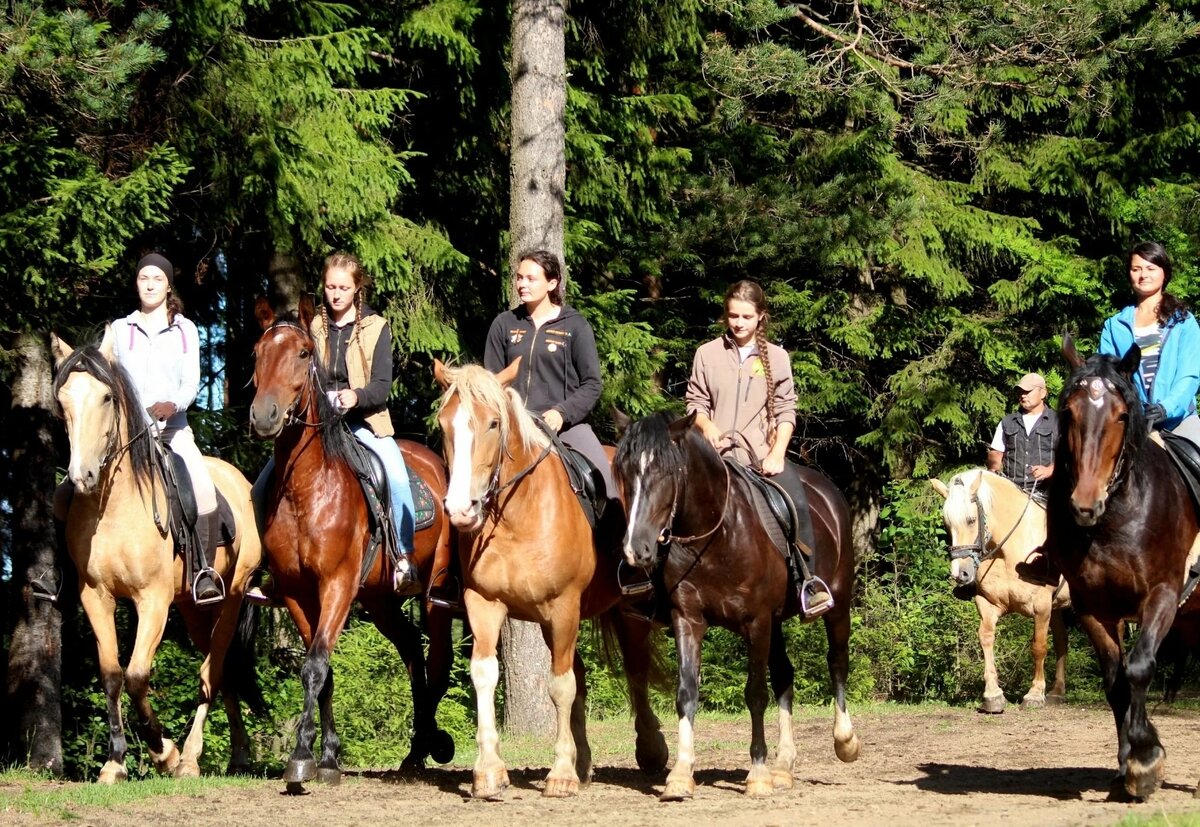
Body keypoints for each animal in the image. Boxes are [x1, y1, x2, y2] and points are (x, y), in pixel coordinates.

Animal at [250, 295, 456, 787]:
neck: (306, 489)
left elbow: (314, 665)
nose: (264, 416)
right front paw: (325, 755)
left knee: (438, 662)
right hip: (381, 600)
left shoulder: (338, 586)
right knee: (412, 651)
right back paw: (415, 750)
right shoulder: (297, 593)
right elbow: (322, 670)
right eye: (256, 353)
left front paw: (301, 758)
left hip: (435, 592)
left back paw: (429, 745)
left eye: (303, 353)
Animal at [434, 360, 676, 801]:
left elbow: (560, 687)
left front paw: (560, 773)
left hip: (625, 610)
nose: (461, 509)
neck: (517, 516)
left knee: (634, 671)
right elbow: (486, 675)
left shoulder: (564, 606)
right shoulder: (483, 604)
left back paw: (650, 750)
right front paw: (489, 771)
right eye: (445, 425)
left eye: (493, 423)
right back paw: (584, 762)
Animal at [614, 412, 859, 801]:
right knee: (785, 675)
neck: (717, 535)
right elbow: (687, 693)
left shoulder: (755, 621)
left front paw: (757, 774)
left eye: (665, 473)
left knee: (837, 662)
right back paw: (783, 766)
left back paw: (844, 741)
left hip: (836, 605)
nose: (636, 550)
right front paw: (681, 775)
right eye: (623, 472)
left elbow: (755, 694)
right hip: (777, 622)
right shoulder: (689, 620)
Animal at [926, 468, 1070, 710]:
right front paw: (993, 695)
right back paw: (1057, 692)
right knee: (1062, 642)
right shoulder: (988, 604)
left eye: (971, 520)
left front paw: (1034, 694)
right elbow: (986, 638)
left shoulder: (1041, 607)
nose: (960, 574)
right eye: (947, 524)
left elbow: (1039, 646)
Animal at [1051, 333, 1200, 801]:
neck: (1116, 515)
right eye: (1068, 412)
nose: (1084, 504)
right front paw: (1127, 765)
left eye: (1120, 415)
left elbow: (1138, 667)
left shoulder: (1163, 596)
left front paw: (1146, 760)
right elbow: (1116, 681)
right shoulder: (1093, 608)